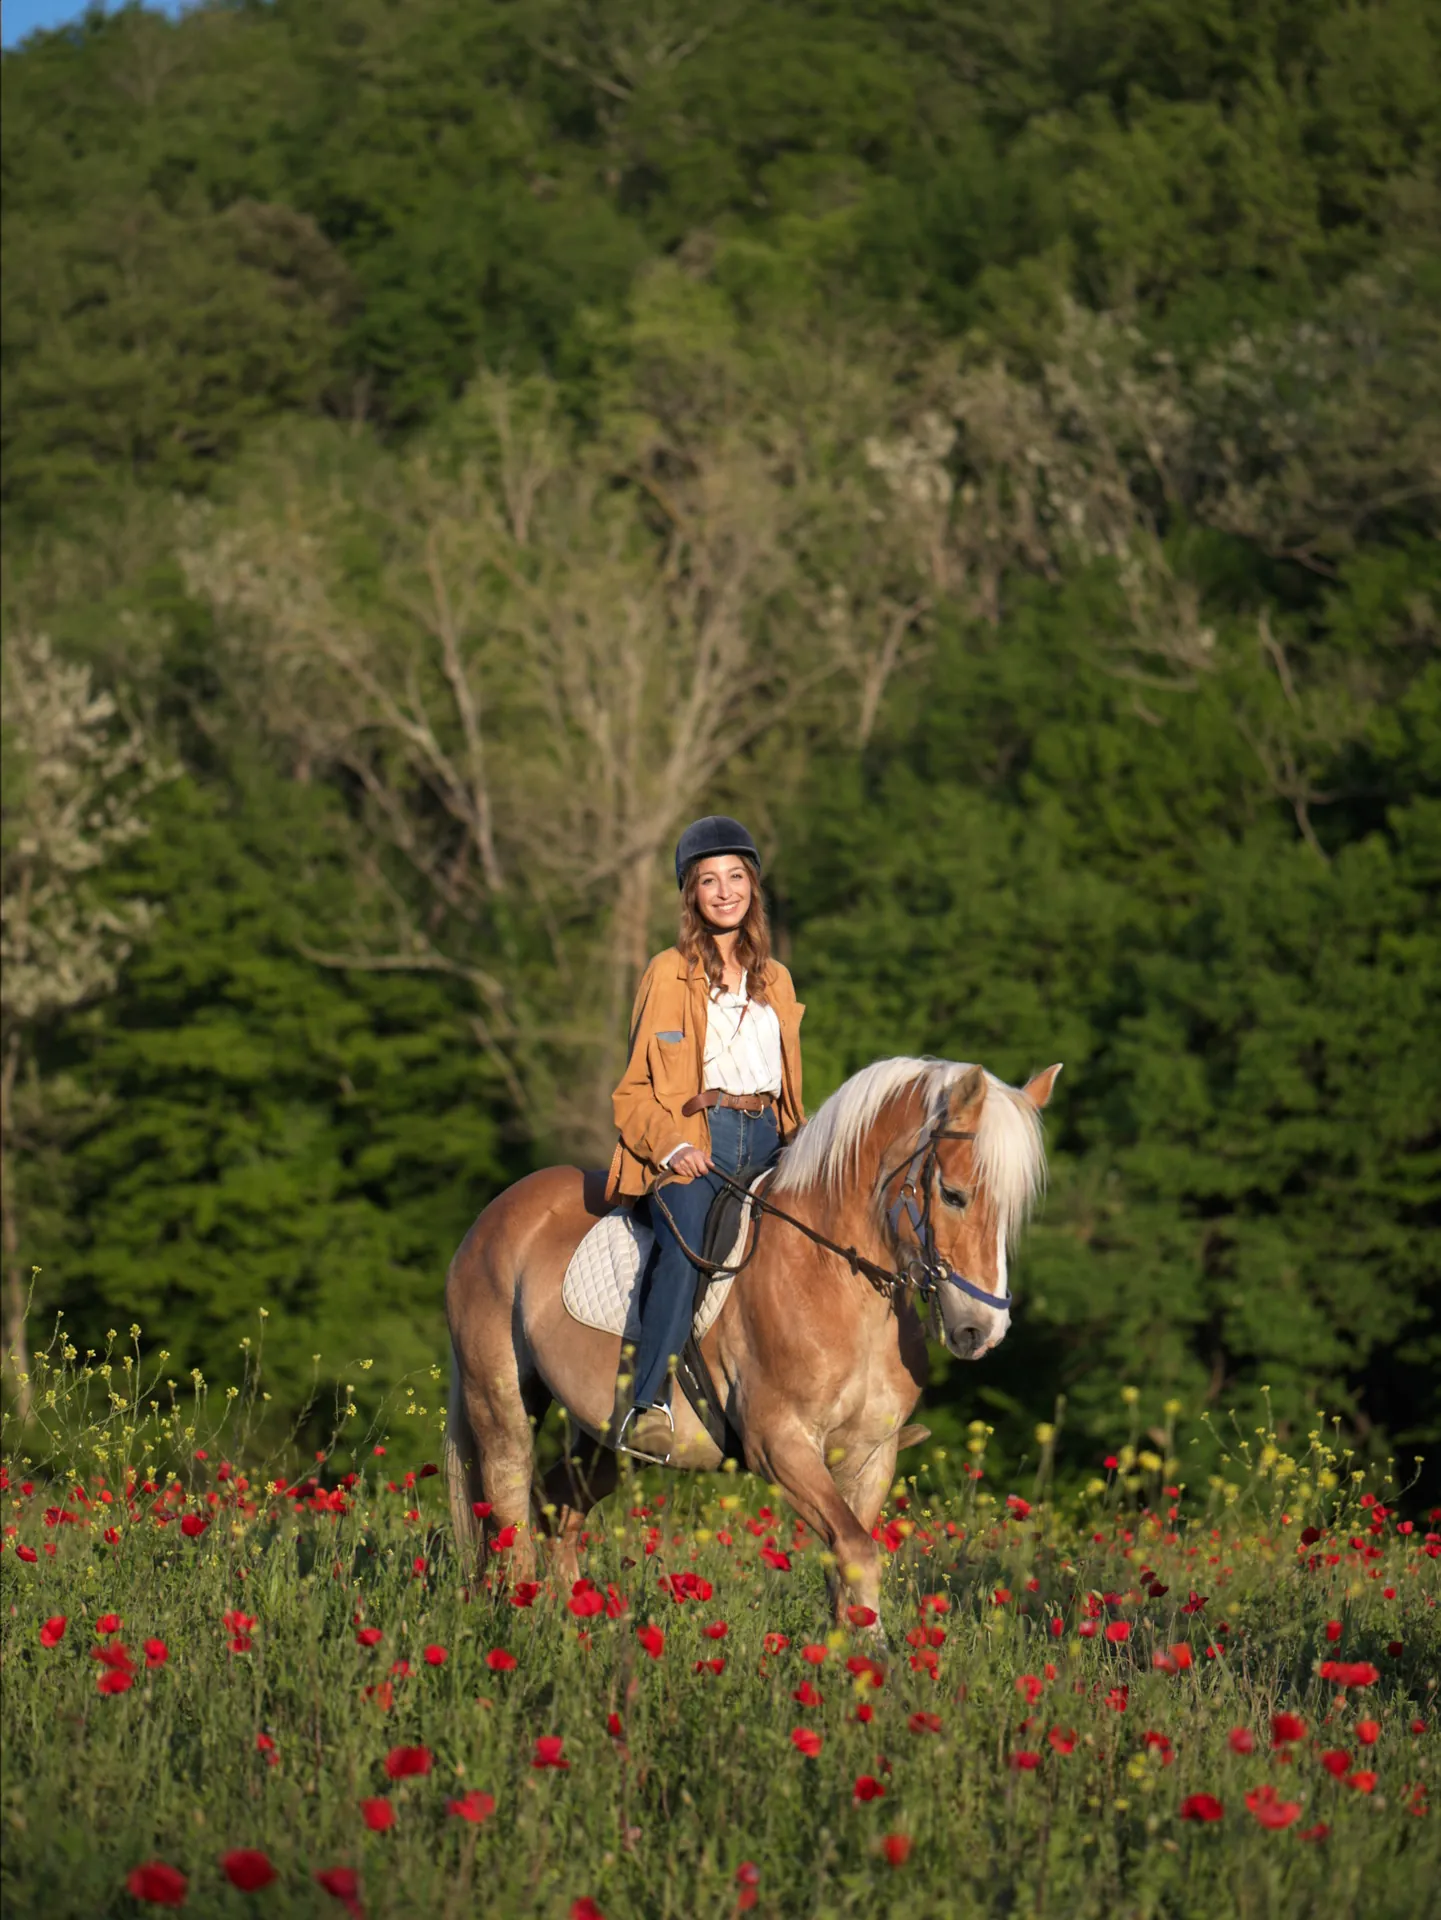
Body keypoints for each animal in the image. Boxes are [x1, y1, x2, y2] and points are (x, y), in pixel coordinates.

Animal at [444, 1055, 1059, 1627]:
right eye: (953, 1195)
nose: (982, 1330)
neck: (835, 1276)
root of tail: (495, 1213)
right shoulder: (780, 1443)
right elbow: (856, 1550)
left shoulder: (870, 1454)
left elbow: (849, 1565)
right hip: (501, 1401)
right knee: (509, 1509)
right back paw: (526, 1621)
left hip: (607, 1440)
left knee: (555, 1508)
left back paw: (573, 1624)